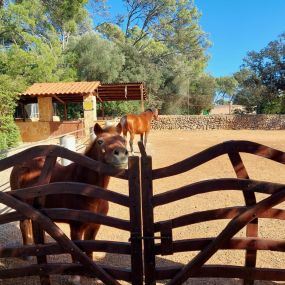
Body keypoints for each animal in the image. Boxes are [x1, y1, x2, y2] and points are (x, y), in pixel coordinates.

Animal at [9, 122, 127, 258]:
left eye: (123, 140)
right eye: (100, 141)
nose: (121, 154)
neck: (86, 189)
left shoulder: (94, 226)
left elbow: (89, 252)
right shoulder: (76, 229)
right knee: (23, 225)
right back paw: (26, 253)